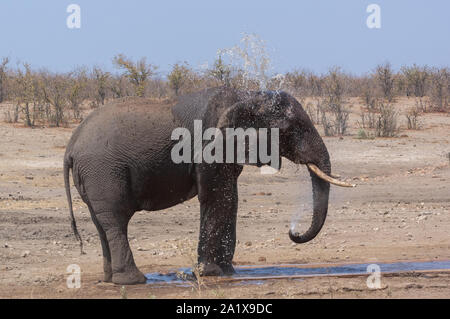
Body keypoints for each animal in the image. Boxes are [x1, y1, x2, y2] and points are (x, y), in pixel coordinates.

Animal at [63, 87, 354, 284]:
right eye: (292, 130)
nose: (293, 232)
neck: (247, 95)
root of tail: (71, 145)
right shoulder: (211, 146)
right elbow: (218, 198)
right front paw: (212, 273)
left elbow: (229, 199)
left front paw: (227, 272)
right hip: (104, 171)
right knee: (116, 220)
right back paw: (134, 281)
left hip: (94, 176)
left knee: (102, 222)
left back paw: (112, 280)